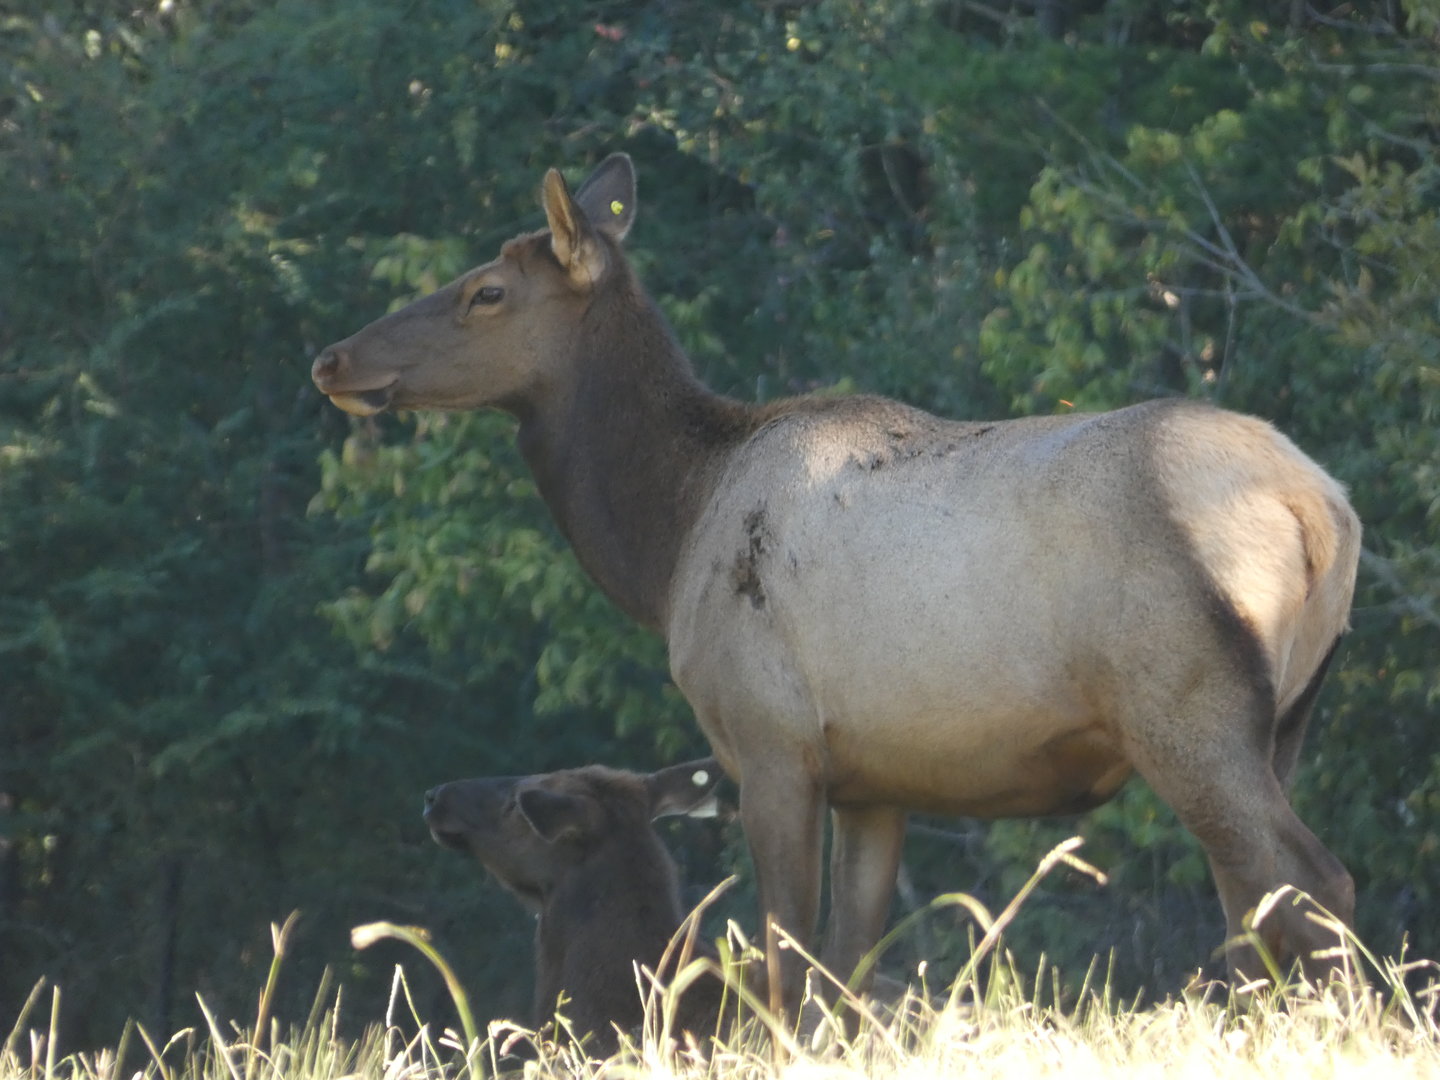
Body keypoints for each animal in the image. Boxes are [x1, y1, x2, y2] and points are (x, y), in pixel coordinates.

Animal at [314, 152, 1363, 1006]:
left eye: (485, 292)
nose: (333, 358)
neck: (667, 537)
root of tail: (1323, 508)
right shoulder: (873, 780)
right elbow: (849, 972)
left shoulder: (771, 744)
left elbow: (787, 966)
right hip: (1287, 719)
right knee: (1257, 903)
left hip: (1186, 706)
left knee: (1314, 883)